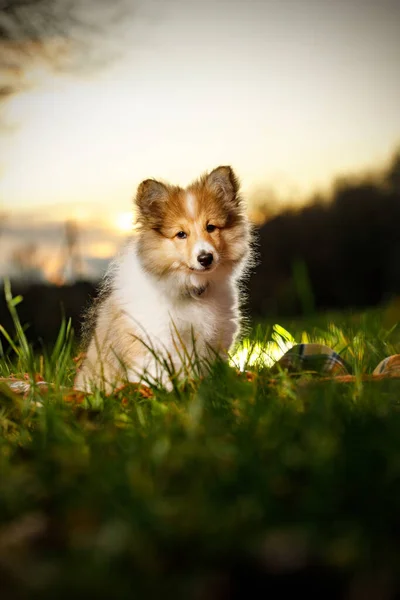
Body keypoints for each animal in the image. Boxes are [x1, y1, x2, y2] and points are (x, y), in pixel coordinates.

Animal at [73, 166, 252, 396]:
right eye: (181, 234)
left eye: (211, 227)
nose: (205, 258)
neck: (190, 289)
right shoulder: (154, 340)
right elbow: (161, 375)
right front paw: (169, 394)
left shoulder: (215, 338)